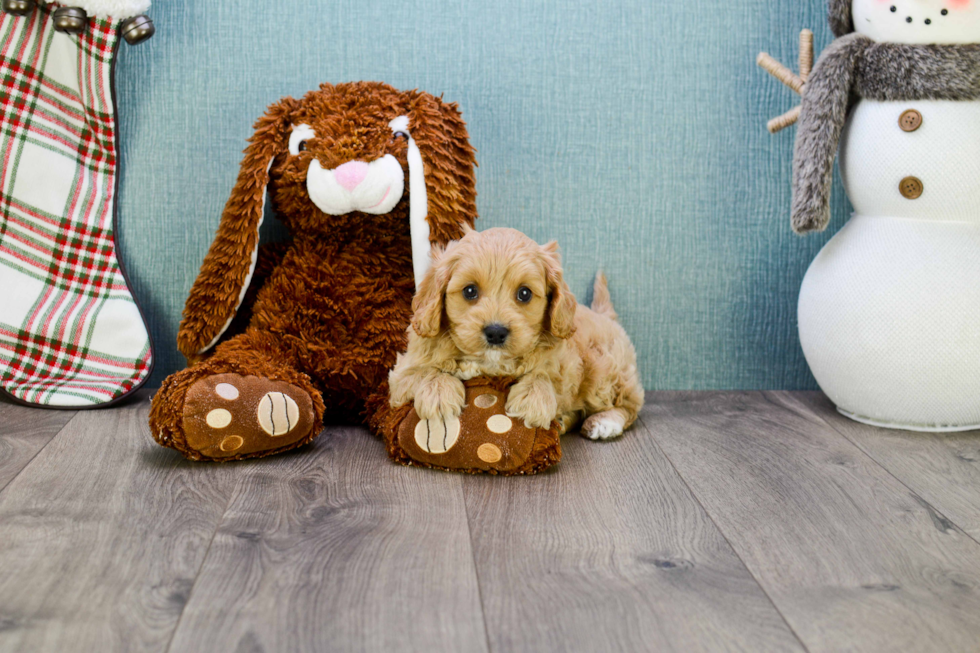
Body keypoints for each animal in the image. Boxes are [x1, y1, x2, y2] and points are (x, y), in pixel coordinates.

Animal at [386, 228, 648, 438]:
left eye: (524, 293)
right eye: (469, 291)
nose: (495, 332)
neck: (489, 364)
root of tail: (605, 315)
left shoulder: (566, 366)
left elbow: (545, 375)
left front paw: (533, 399)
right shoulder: (401, 375)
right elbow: (426, 371)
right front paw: (439, 393)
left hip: (605, 372)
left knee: (631, 406)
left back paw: (604, 422)